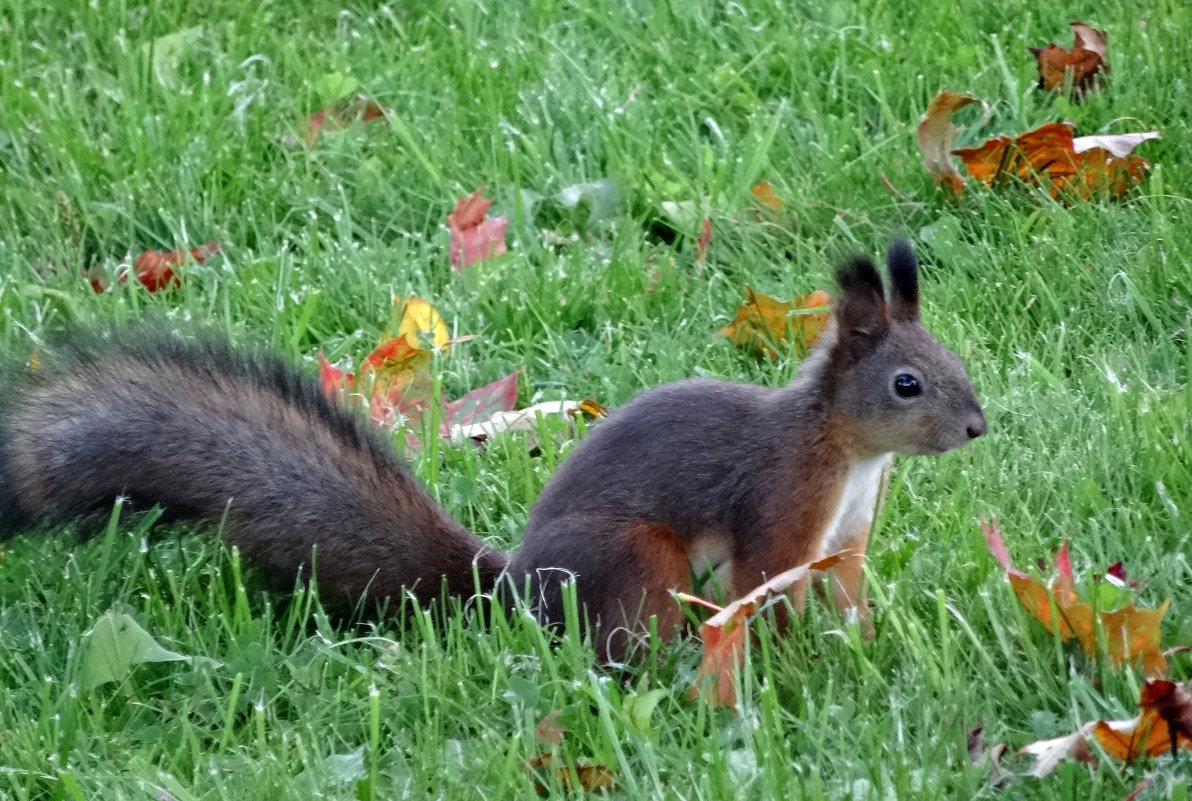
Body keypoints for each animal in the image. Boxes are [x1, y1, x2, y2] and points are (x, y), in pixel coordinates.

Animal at [0, 240, 986, 657]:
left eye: (954, 361)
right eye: (908, 384)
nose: (978, 427)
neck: (845, 449)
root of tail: (510, 589)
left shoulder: (846, 530)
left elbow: (846, 585)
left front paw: (861, 642)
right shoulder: (781, 504)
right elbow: (768, 585)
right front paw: (796, 666)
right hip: (636, 559)